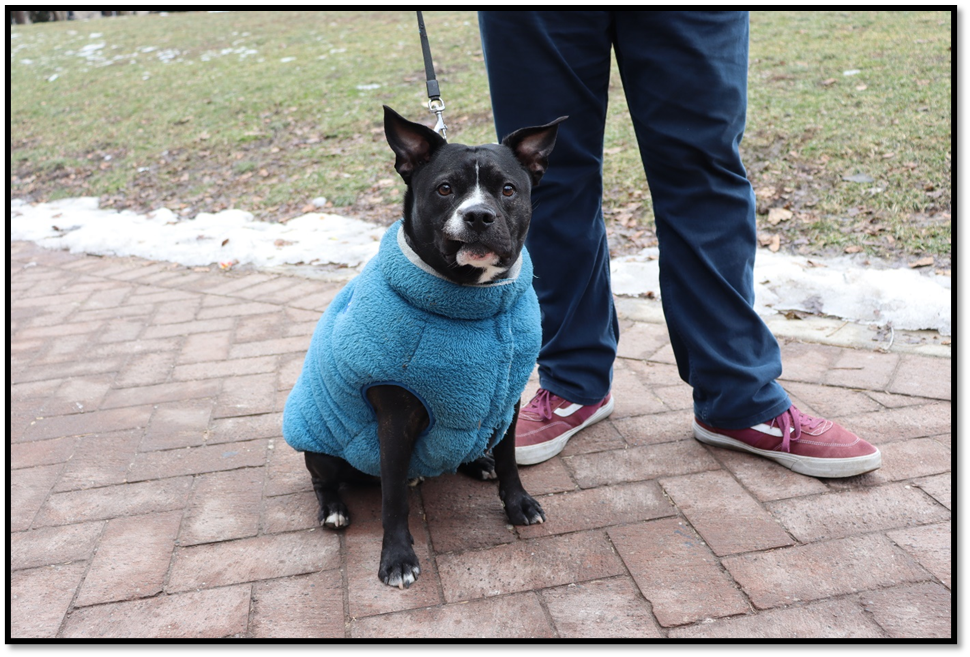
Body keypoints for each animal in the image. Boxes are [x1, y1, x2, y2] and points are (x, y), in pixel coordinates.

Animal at [284, 105, 564, 588]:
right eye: (445, 188)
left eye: (508, 190)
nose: (478, 216)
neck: (476, 301)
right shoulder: (396, 418)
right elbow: (394, 497)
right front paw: (396, 558)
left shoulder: (508, 397)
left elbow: (510, 460)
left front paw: (518, 504)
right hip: (320, 442)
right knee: (325, 478)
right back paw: (334, 509)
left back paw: (480, 462)